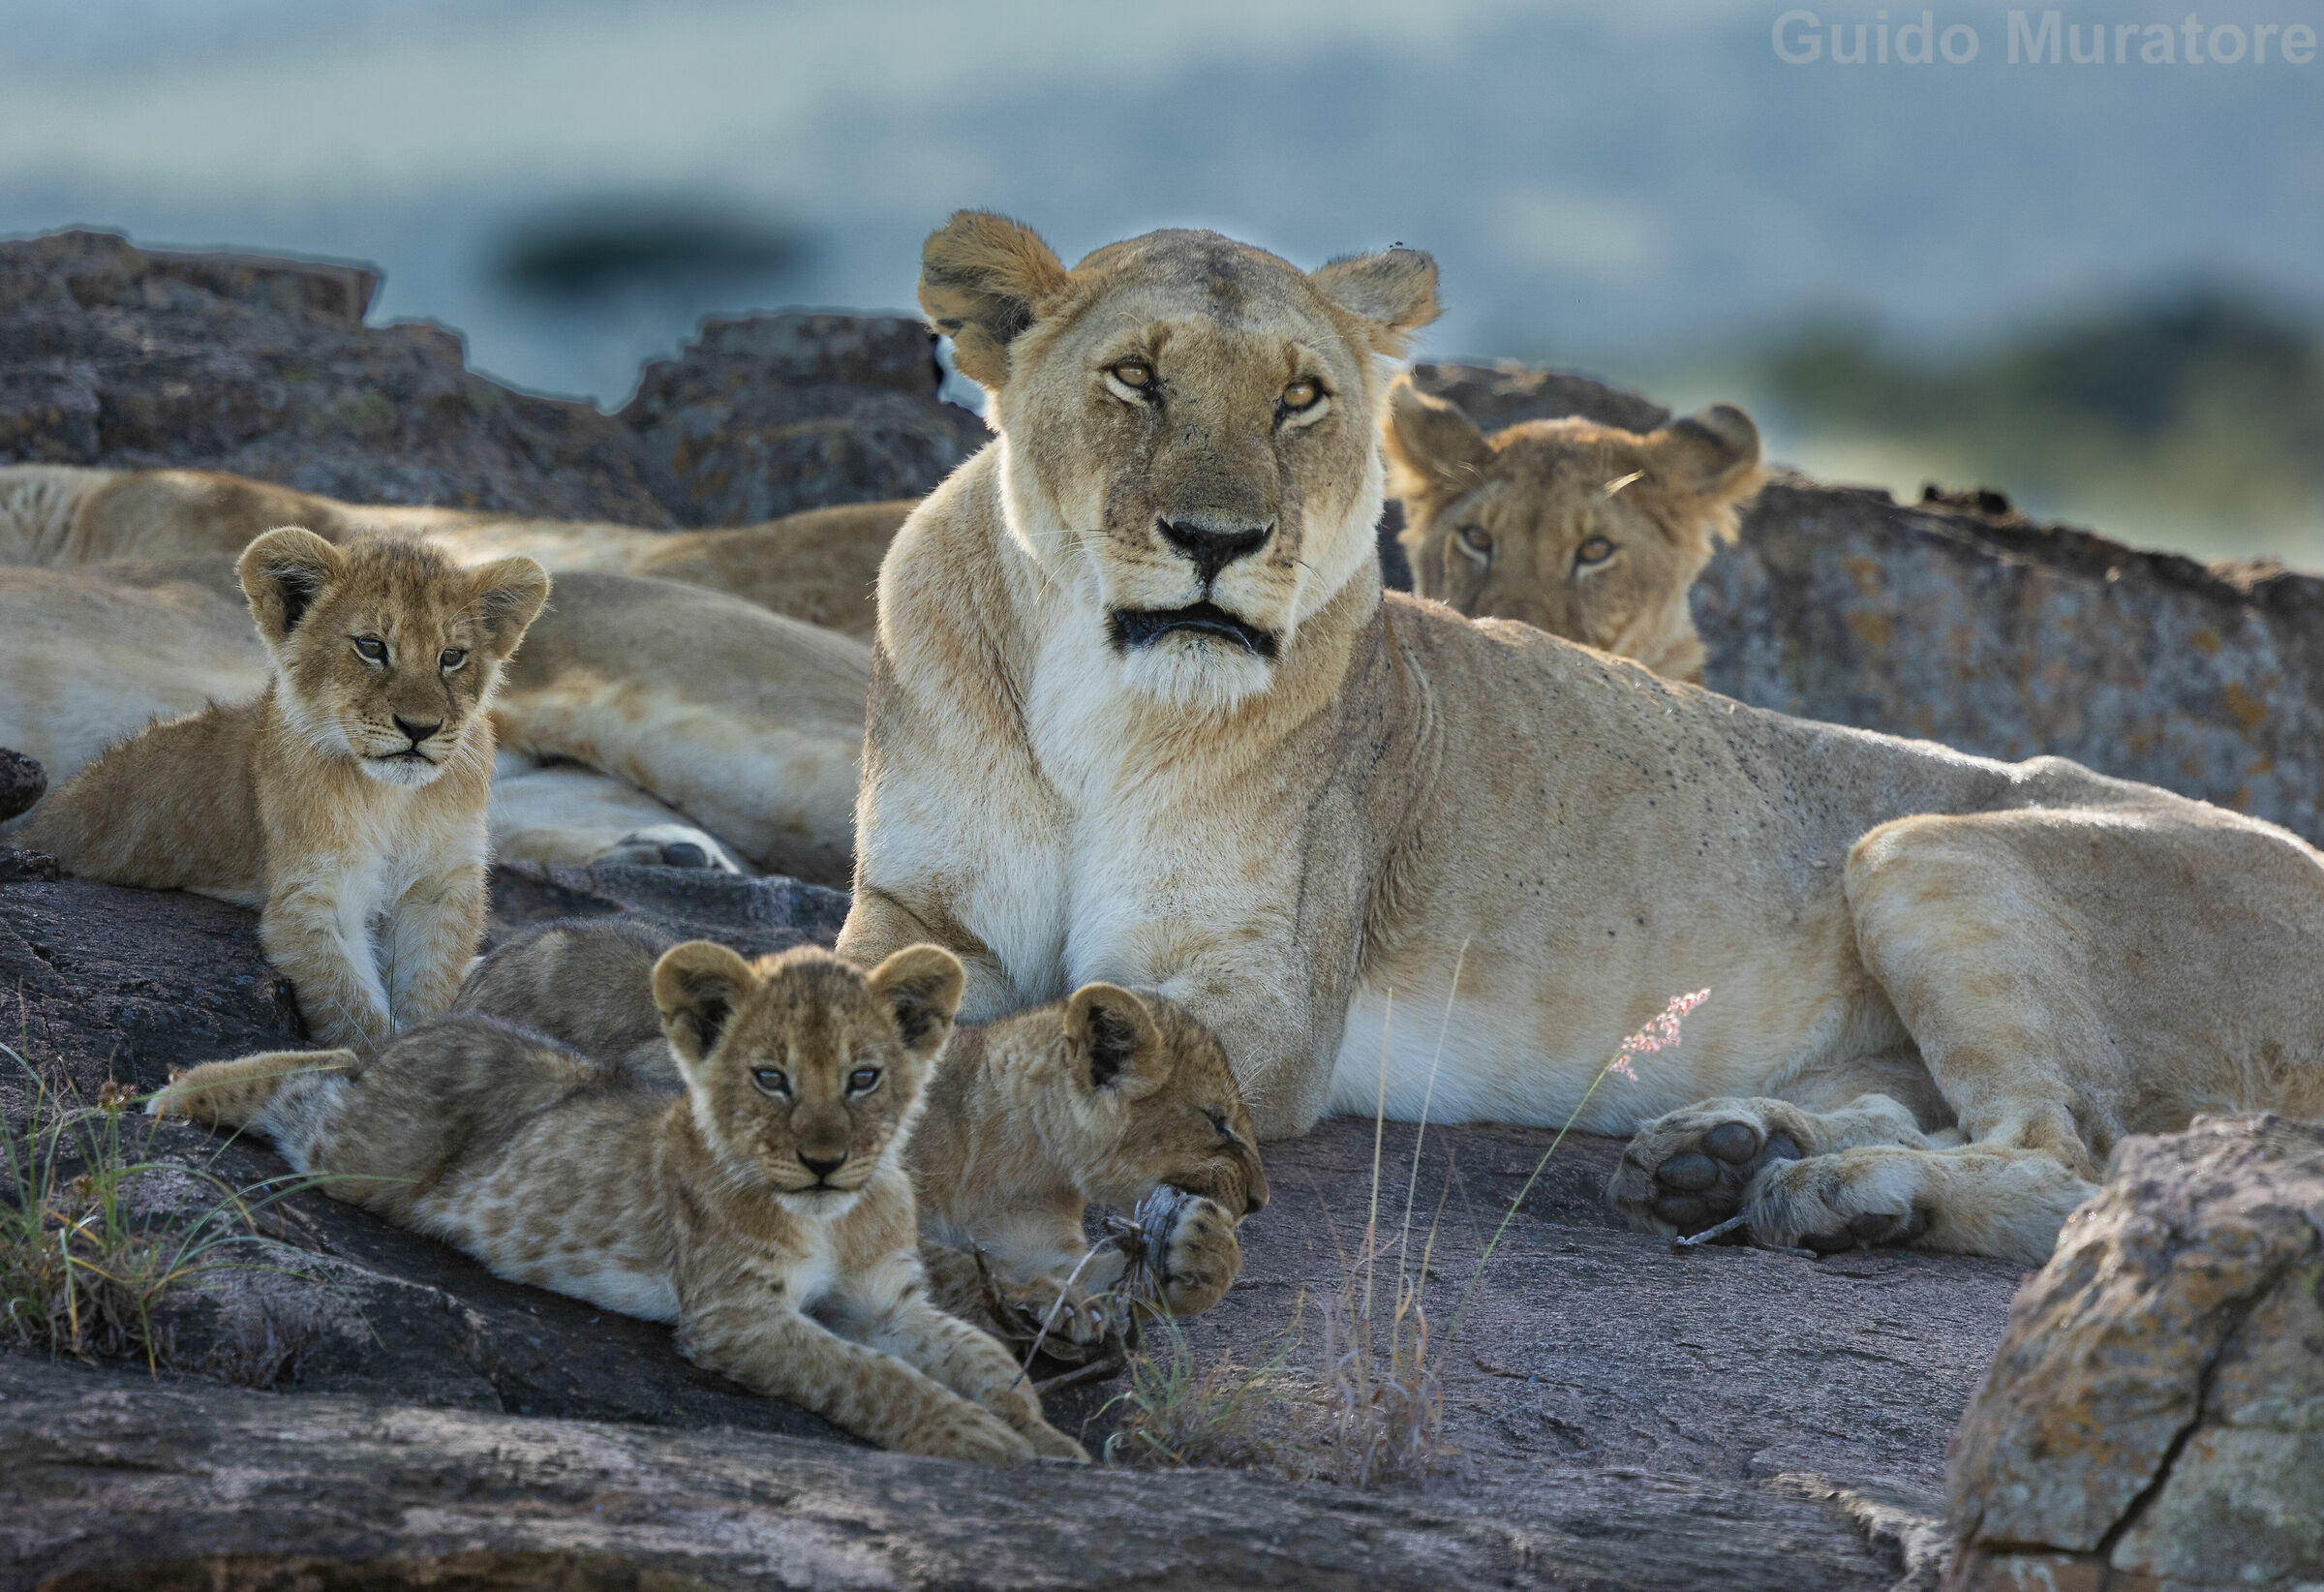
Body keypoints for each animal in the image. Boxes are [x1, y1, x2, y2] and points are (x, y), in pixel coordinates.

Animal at [16, 529, 549, 1050]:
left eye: (451, 657)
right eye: (371, 646)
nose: (419, 728)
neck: (391, 799)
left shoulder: (439, 886)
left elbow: (430, 987)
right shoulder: (310, 897)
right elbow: (355, 1011)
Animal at [150, 939, 1086, 1464]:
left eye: (865, 1077)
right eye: (770, 1078)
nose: (823, 1162)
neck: (837, 1215)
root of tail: (429, 1024)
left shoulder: (887, 1302)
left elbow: (984, 1359)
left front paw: (1044, 1438)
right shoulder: (735, 1316)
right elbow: (873, 1377)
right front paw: (977, 1441)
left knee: (335, 1058)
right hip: (363, 1157)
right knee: (307, 1084)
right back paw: (181, 1090)